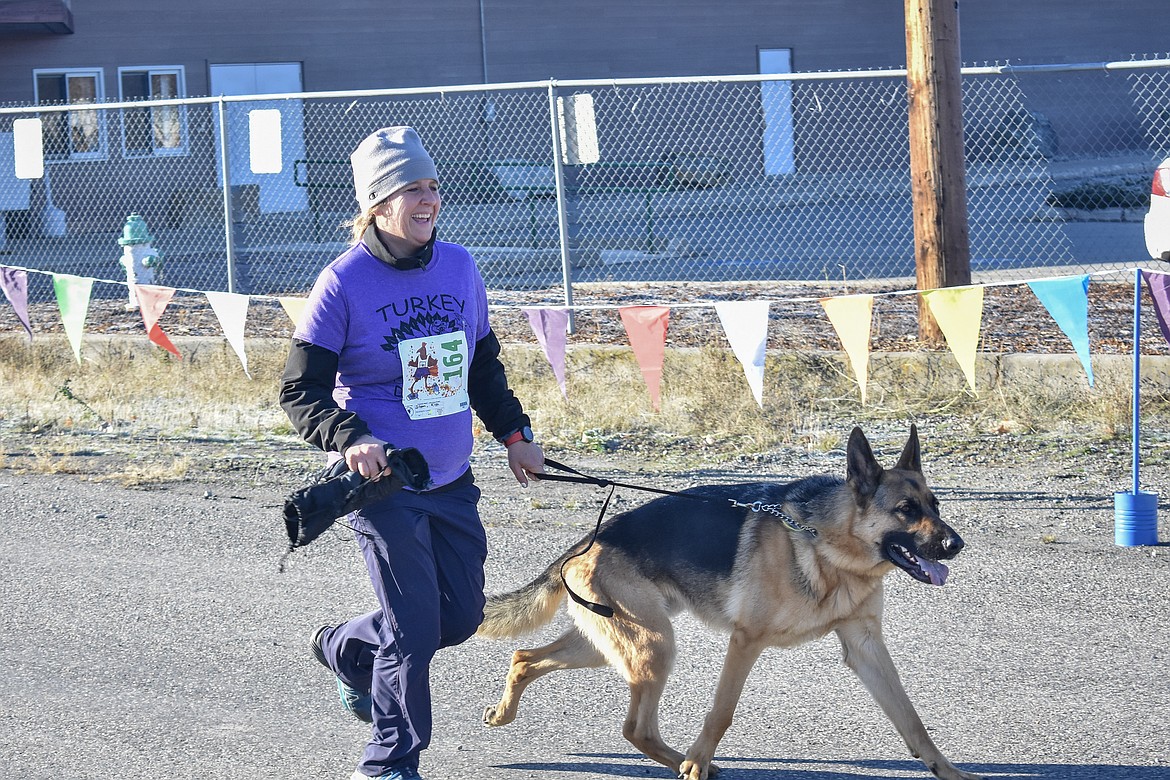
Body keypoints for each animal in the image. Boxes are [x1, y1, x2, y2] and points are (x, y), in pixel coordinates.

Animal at [479, 428, 982, 780]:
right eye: (905, 510)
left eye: (935, 505)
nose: (956, 545)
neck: (829, 544)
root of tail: (590, 539)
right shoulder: (745, 641)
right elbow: (722, 711)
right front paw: (697, 763)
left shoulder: (865, 648)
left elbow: (911, 719)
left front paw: (948, 771)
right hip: (654, 646)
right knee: (634, 727)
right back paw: (684, 762)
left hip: (613, 644)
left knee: (524, 657)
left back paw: (504, 712)